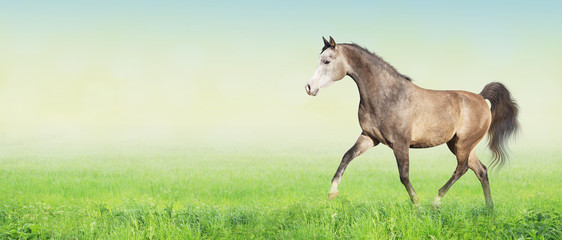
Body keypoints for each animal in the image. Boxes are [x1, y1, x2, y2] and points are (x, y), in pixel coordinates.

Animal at [304, 36, 520, 208]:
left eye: (327, 61)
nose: (309, 87)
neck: (388, 95)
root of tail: (481, 97)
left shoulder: (400, 143)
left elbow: (404, 175)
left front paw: (417, 204)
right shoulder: (369, 138)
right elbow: (346, 157)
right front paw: (332, 193)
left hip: (463, 144)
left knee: (462, 168)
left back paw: (436, 202)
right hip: (459, 144)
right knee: (481, 170)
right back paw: (489, 208)